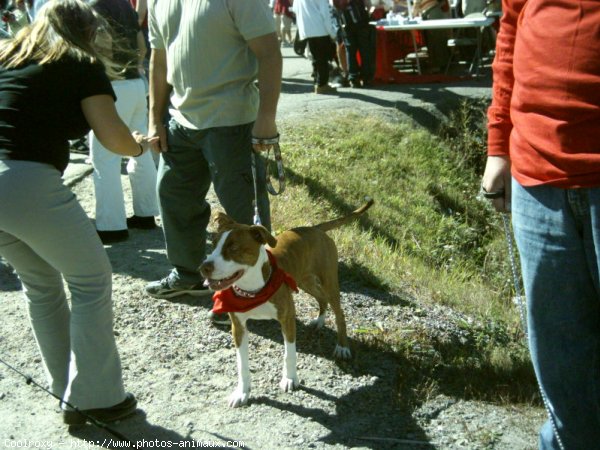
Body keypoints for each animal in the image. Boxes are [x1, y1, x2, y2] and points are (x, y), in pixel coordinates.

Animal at [199, 199, 372, 406]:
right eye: (214, 244)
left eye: (233, 248)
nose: (203, 267)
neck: (253, 289)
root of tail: (314, 228)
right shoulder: (238, 327)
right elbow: (242, 364)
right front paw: (242, 392)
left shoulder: (287, 319)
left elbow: (289, 353)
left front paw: (289, 379)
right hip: (305, 281)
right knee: (321, 299)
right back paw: (319, 321)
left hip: (329, 281)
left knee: (339, 313)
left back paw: (343, 347)